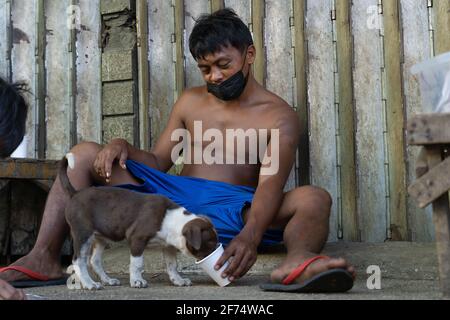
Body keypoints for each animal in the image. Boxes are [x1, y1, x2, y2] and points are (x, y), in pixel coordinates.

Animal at [59, 154, 217, 292]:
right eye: (209, 242)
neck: (172, 220)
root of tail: (75, 193)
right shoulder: (137, 238)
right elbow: (137, 264)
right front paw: (137, 281)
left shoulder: (168, 246)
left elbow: (172, 265)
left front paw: (178, 280)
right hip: (83, 234)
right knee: (78, 261)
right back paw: (89, 284)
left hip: (101, 237)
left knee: (94, 260)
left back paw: (107, 280)